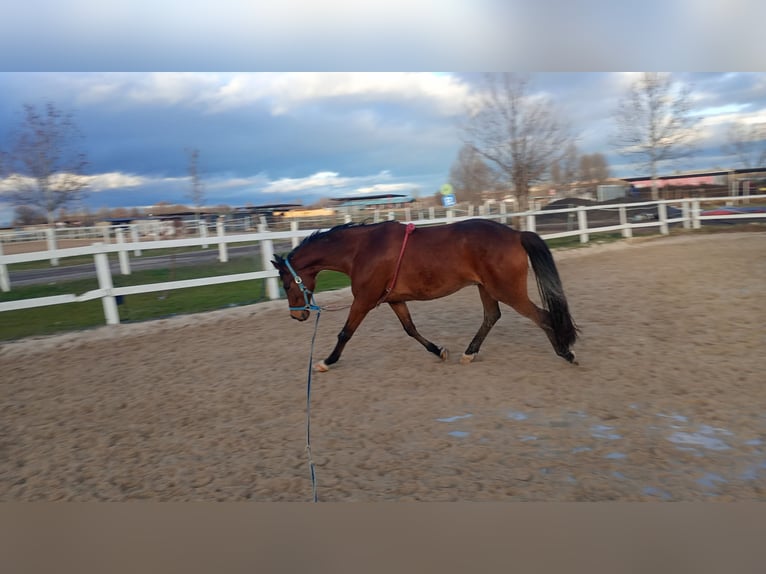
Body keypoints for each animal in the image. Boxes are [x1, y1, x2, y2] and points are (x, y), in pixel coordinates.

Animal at [272, 218, 579, 372]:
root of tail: (516, 234)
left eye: (286, 284)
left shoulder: (364, 300)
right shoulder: (394, 300)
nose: (297, 316)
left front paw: (326, 362)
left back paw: (566, 353)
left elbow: (345, 333)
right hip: (487, 288)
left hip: (507, 290)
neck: (362, 250)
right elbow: (410, 329)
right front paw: (439, 350)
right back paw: (469, 354)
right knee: (492, 316)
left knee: (543, 316)